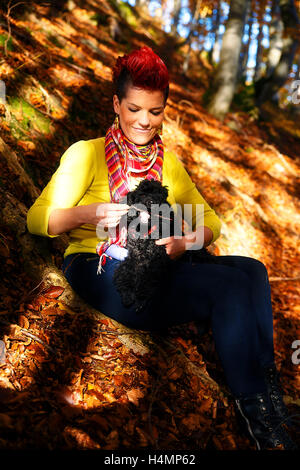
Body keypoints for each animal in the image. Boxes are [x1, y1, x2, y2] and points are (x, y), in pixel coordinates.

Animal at [112, 179, 218, 312]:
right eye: (142, 193)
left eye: (159, 196)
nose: (151, 201)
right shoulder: (135, 256)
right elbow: (126, 271)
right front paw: (127, 293)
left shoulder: (156, 259)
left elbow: (148, 278)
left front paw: (142, 297)